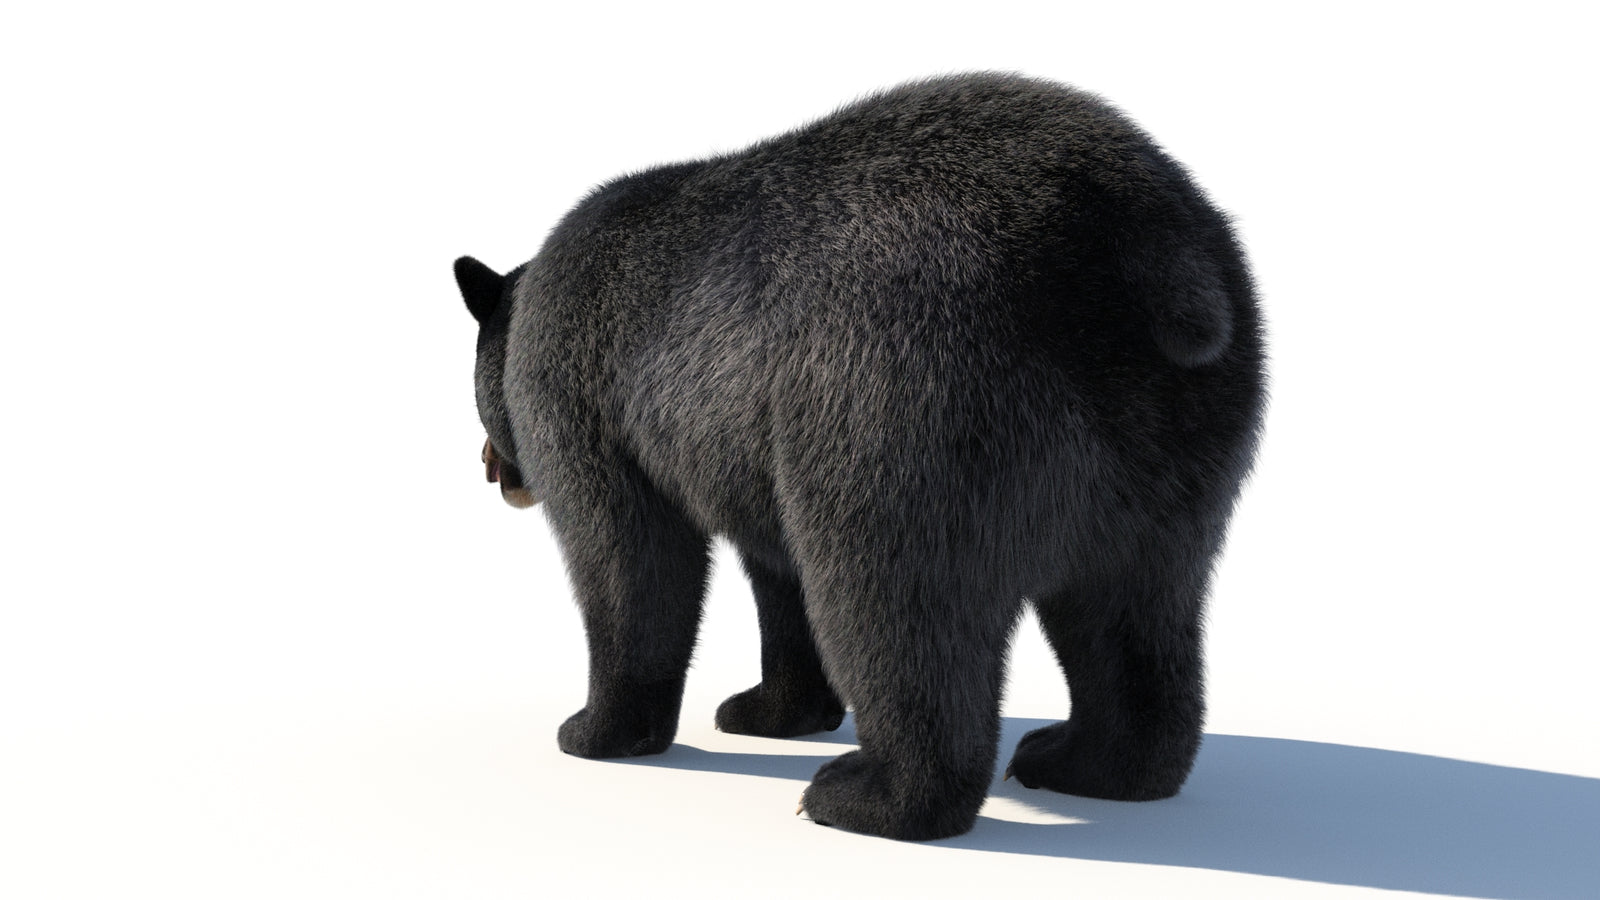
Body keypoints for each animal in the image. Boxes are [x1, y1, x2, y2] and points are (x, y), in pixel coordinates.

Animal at [454, 72, 1266, 841]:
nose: (492, 468)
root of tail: (1144, 251)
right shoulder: (750, 441)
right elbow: (779, 576)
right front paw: (768, 709)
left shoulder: (584, 388)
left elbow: (627, 554)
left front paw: (594, 728)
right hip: (1174, 436)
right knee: (1136, 604)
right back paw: (1091, 763)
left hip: (906, 399)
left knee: (892, 597)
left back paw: (870, 795)